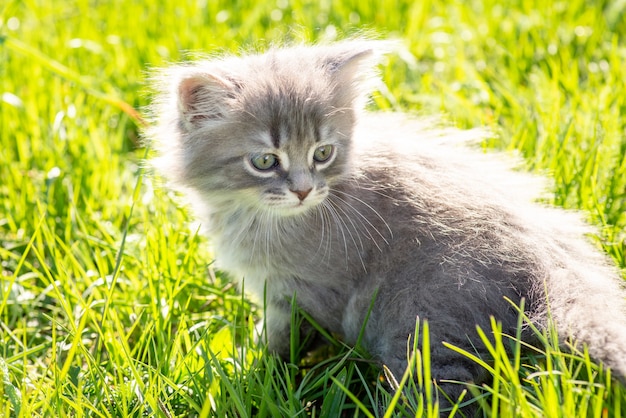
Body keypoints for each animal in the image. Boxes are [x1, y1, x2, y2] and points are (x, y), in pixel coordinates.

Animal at [147, 41, 626, 404]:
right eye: (265, 161)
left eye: (323, 153)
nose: (303, 190)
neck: (258, 214)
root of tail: (551, 263)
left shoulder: (301, 292)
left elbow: (280, 341)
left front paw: (251, 368)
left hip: (418, 328)